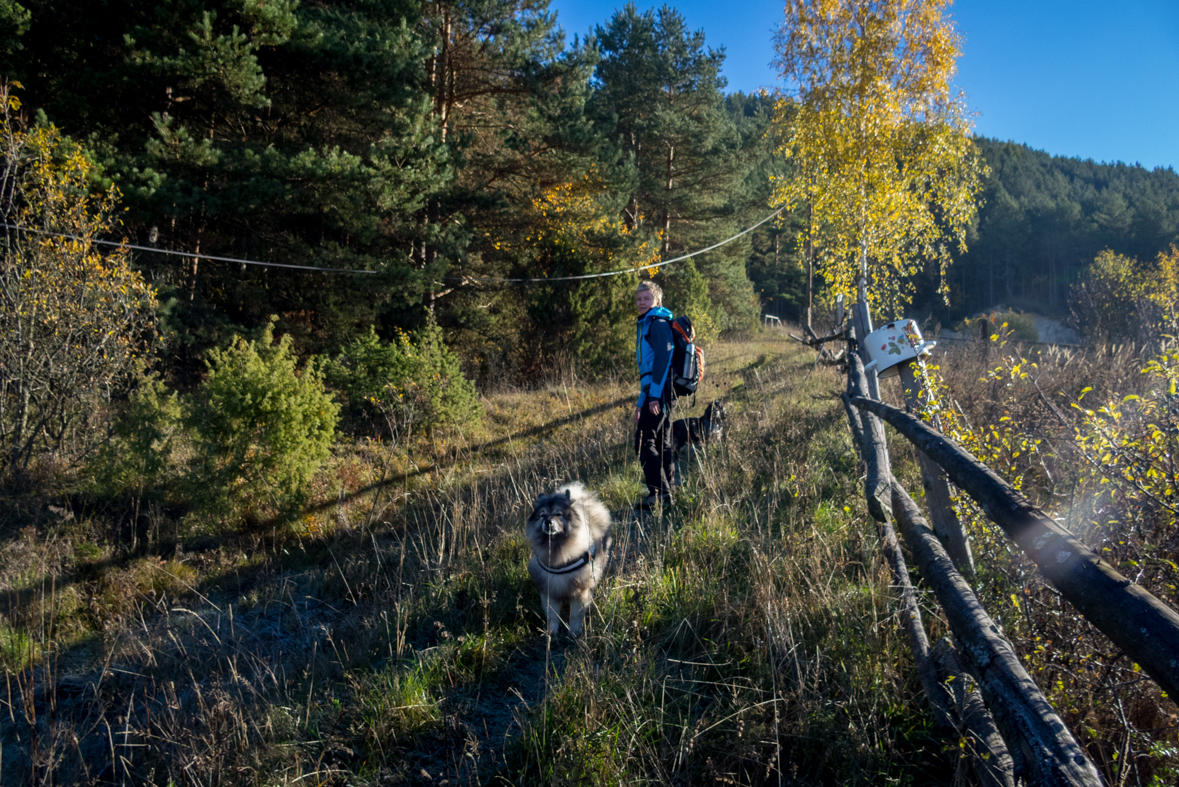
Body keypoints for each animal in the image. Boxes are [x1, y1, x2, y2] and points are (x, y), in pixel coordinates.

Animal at [528, 480, 613, 640]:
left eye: (558, 514)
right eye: (542, 515)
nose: (548, 522)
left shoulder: (580, 589)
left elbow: (576, 614)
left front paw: (574, 632)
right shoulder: (549, 589)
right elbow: (552, 615)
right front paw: (551, 633)